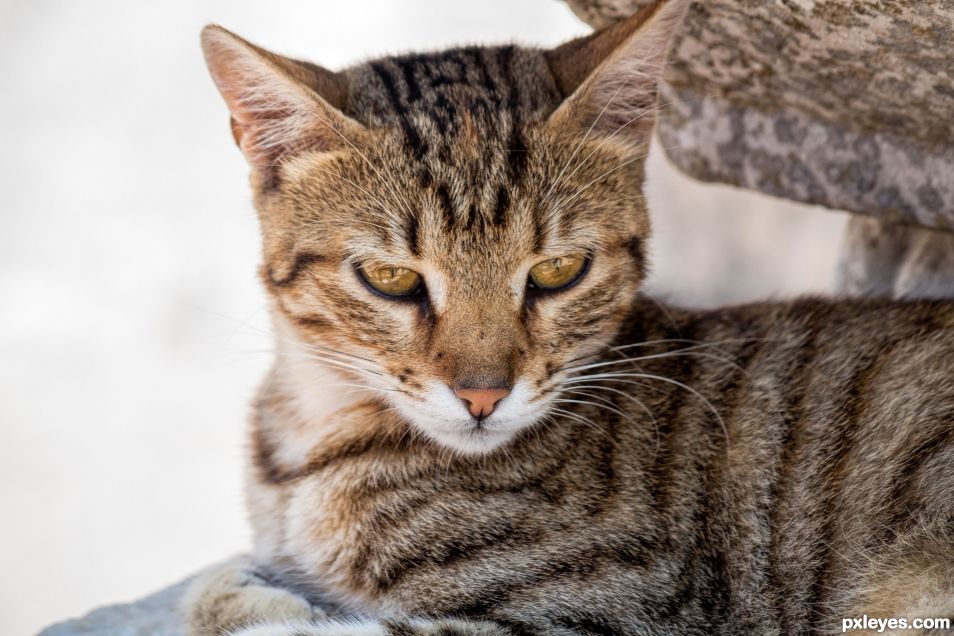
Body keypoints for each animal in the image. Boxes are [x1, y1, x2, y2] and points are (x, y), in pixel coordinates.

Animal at [184, 2, 952, 632]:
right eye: (392, 278)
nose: (483, 397)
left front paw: (253, 600)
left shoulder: (621, 604)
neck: (311, 435)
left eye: (558, 271)